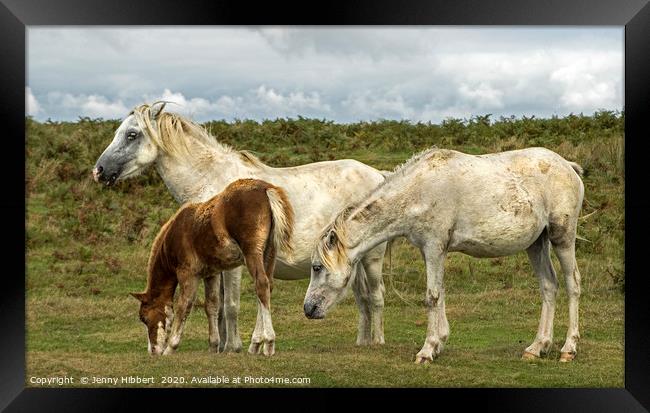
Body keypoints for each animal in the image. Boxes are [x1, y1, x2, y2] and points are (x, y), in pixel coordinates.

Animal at [132, 179, 294, 356]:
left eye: (144, 317)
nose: (153, 351)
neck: (173, 236)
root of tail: (266, 188)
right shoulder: (212, 273)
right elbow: (212, 305)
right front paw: (213, 345)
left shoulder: (187, 274)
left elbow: (184, 306)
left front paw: (170, 347)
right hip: (269, 252)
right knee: (267, 287)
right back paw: (255, 344)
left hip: (252, 253)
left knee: (261, 285)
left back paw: (269, 343)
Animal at [304, 146, 584, 362]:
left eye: (317, 267)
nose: (308, 309)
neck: (417, 191)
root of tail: (568, 166)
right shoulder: (432, 251)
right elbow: (440, 293)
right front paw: (439, 342)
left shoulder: (434, 247)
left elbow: (432, 296)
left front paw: (427, 350)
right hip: (536, 244)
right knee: (549, 286)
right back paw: (537, 347)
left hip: (562, 237)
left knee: (572, 284)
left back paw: (568, 349)